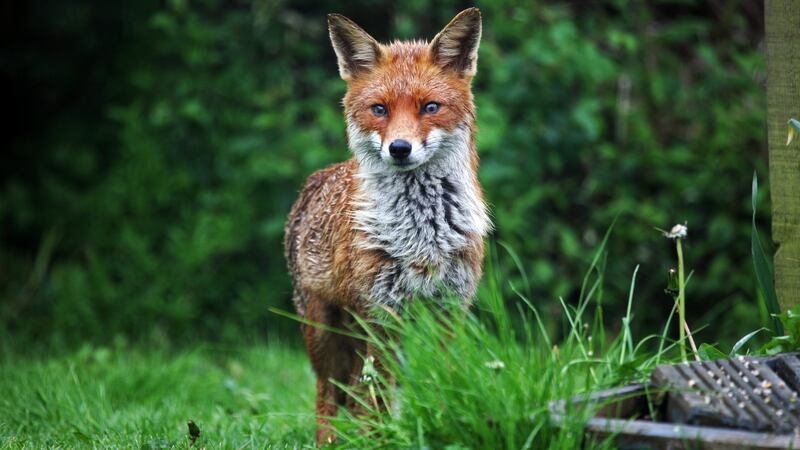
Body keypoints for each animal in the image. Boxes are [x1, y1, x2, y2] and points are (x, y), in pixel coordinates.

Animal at [284, 8, 491, 445]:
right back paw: (329, 442)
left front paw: (443, 423)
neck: (423, 236)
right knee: (327, 393)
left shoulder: (451, 309)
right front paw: (378, 440)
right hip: (323, 330)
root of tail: (316, 180)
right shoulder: (382, 311)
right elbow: (373, 396)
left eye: (430, 107)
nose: (399, 148)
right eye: (379, 109)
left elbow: (444, 381)